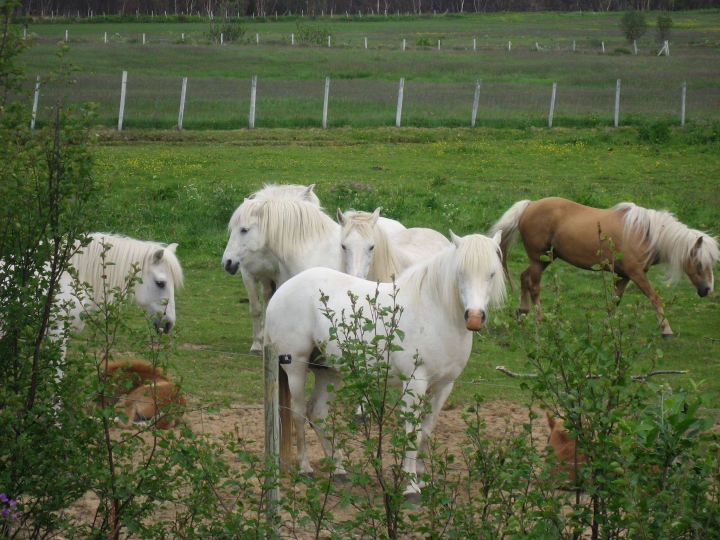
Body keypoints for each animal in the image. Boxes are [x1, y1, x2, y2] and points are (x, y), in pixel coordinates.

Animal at [264, 230, 506, 496]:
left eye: (491, 274)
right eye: (461, 272)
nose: (474, 317)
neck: (434, 313)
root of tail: (284, 288)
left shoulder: (443, 386)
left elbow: (426, 430)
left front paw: (422, 479)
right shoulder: (414, 384)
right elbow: (412, 432)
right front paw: (410, 487)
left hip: (329, 372)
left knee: (317, 413)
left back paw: (338, 469)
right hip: (295, 367)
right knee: (298, 414)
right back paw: (305, 467)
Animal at [486, 196, 716, 336]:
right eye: (699, 263)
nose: (707, 289)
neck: (645, 233)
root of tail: (531, 204)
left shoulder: (624, 276)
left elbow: (615, 301)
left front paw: (609, 326)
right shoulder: (636, 273)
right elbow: (654, 298)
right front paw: (666, 329)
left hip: (544, 260)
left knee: (525, 278)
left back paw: (523, 311)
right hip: (539, 259)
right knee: (534, 286)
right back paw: (540, 318)